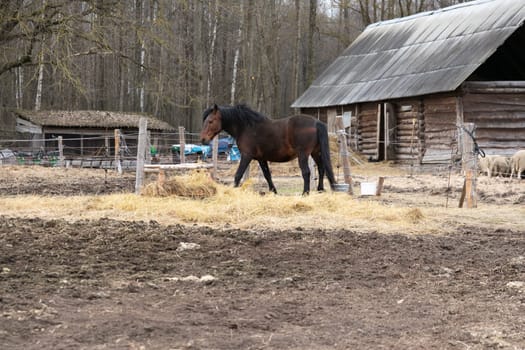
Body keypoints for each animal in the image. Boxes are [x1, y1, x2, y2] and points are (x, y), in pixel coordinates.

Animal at [199, 104, 334, 197]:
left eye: (210, 121)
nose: (203, 139)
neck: (246, 127)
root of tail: (316, 122)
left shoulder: (246, 156)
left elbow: (238, 175)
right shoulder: (261, 158)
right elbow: (267, 175)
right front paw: (274, 191)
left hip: (303, 155)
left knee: (306, 172)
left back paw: (305, 193)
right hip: (315, 152)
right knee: (321, 169)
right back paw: (320, 190)